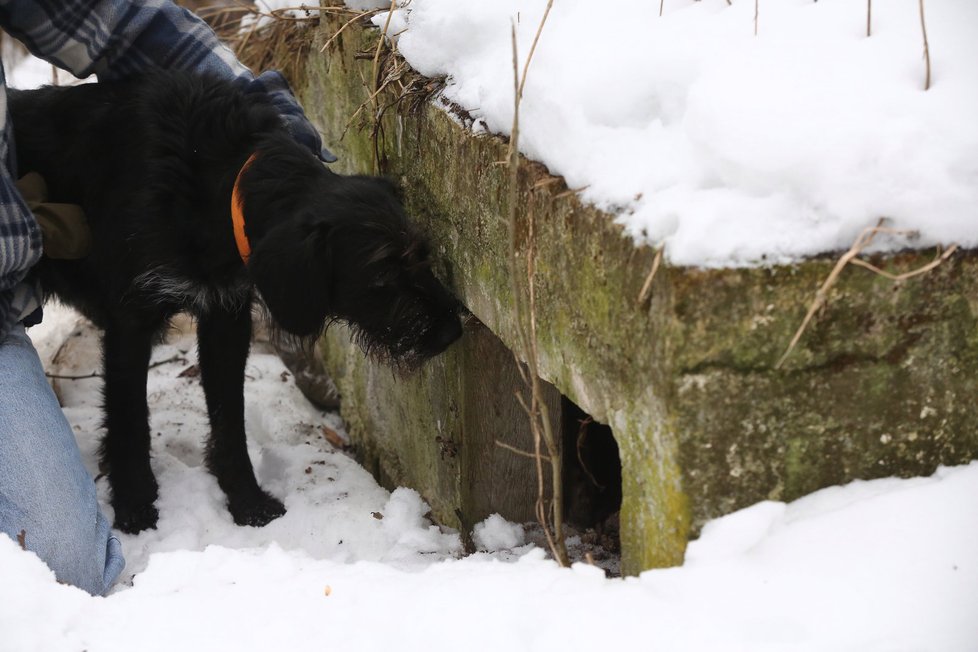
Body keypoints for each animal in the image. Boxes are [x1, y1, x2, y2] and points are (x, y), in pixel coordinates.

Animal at [9, 71, 462, 536]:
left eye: (423, 255)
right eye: (381, 277)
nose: (453, 330)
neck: (209, 179)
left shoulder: (225, 318)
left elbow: (230, 419)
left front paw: (247, 501)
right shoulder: (129, 323)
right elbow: (129, 420)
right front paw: (135, 504)